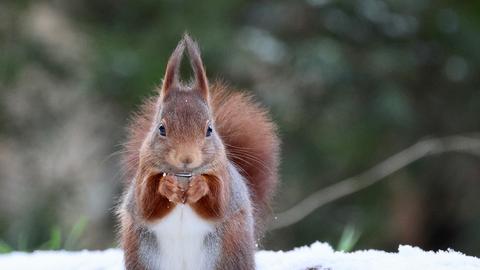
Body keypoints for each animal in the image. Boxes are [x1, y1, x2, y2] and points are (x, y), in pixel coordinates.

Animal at [117, 34, 280, 270]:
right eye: (161, 128)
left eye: (209, 129)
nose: (187, 158)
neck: (184, 175)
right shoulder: (143, 173)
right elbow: (146, 204)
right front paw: (166, 185)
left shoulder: (224, 178)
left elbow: (218, 204)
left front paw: (200, 186)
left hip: (229, 250)